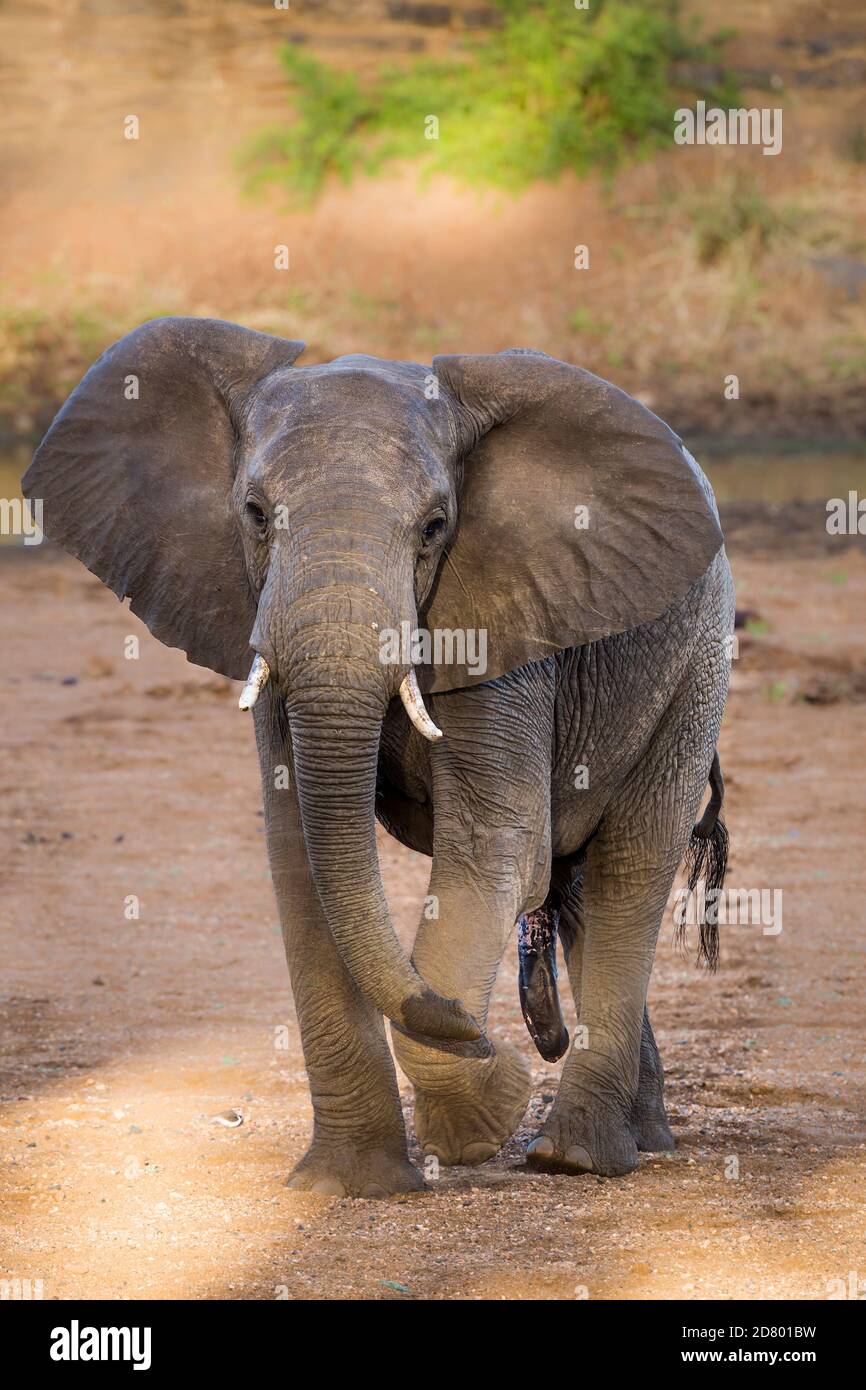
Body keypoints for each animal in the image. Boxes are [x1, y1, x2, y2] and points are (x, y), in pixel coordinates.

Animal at [24, 317, 734, 1198]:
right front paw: (349, 1185)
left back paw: (577, 1158)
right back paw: (636, 1137)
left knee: (630, 865)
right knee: (579, 895)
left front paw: (481, 1110)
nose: (491, 1034)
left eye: (434, 527)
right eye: (255, 514)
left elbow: (495, 850)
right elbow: (302, 858)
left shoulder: (503, 633)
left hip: (697, 665)